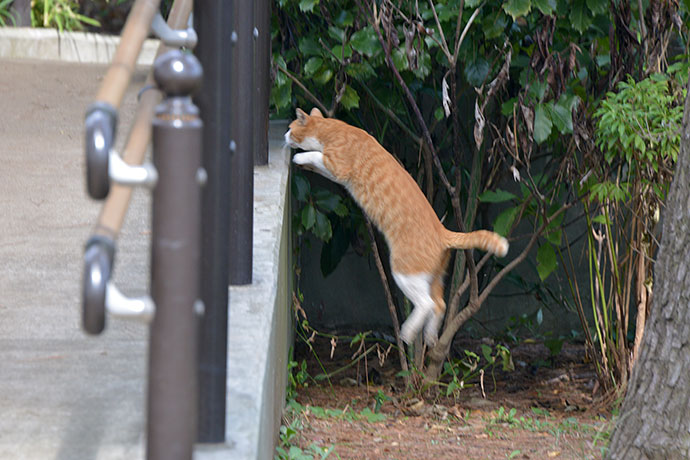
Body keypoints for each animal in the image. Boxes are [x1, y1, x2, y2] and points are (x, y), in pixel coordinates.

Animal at [284, 108, 506, 344]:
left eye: (290, 128)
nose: (285, 135)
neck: (332, 129)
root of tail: (443, 231)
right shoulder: (334, 172)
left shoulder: (336, 166)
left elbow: (316, 155)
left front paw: (299, 157)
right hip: (434, 278)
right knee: (440, 304)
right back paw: (429, 336)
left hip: (403, 271)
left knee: (426, 303)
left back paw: (408, 333)